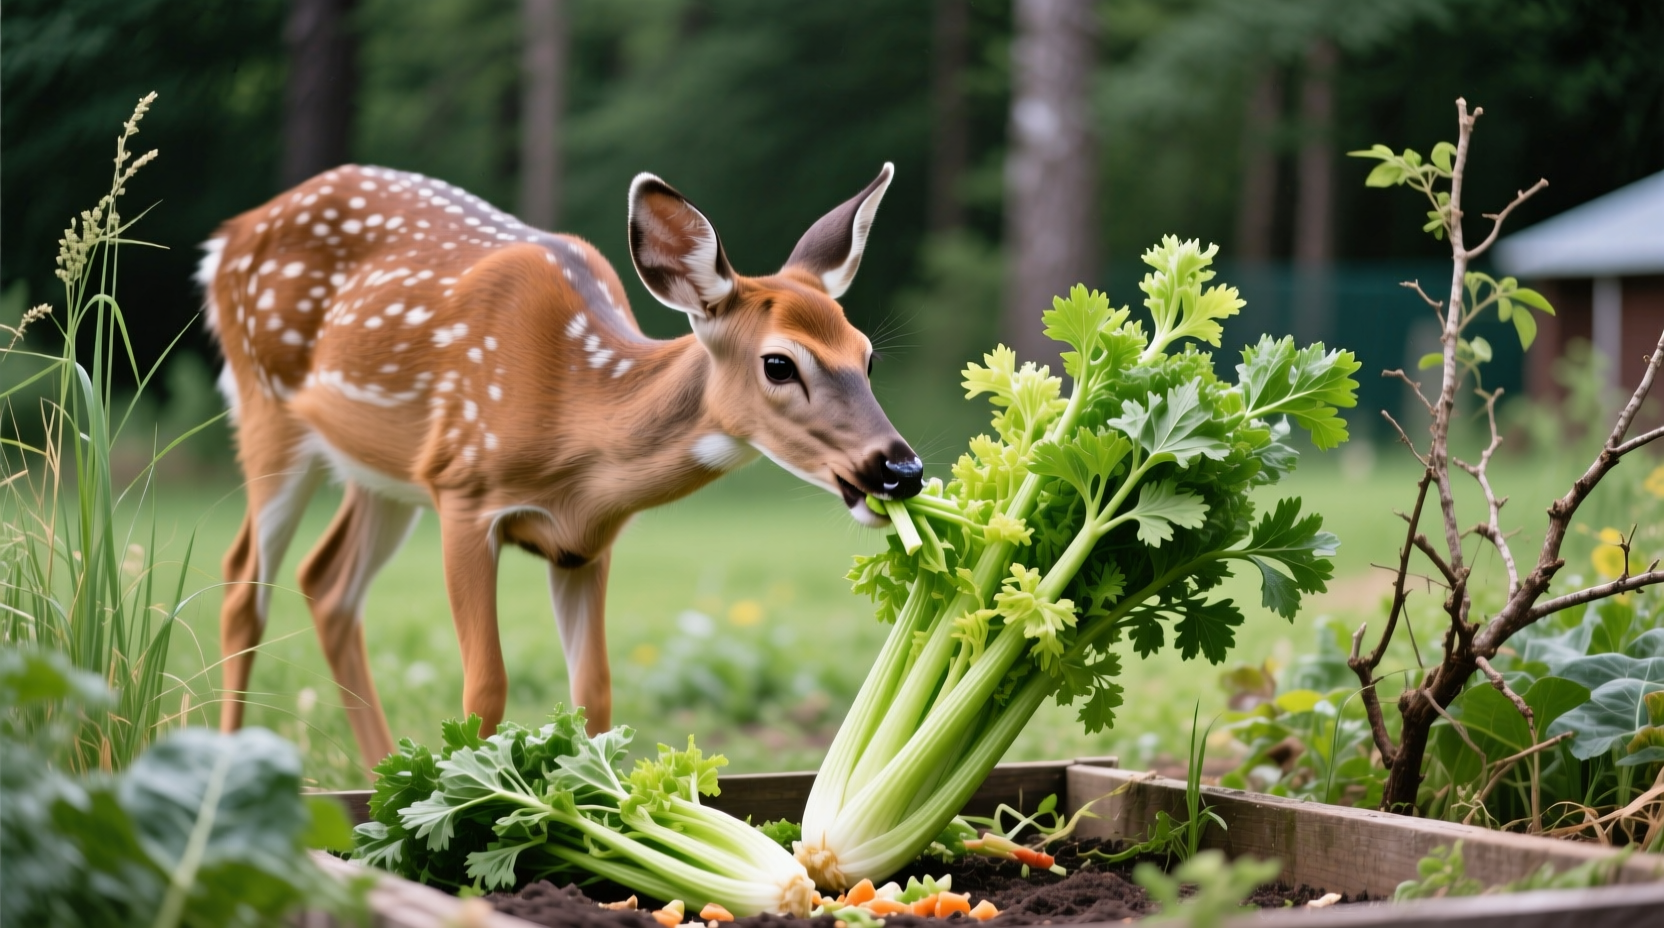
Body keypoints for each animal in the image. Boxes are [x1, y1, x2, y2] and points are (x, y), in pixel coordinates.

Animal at [201, 162, 922, 772]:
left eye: (867, 356)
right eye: (779, 363)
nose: (901, 469)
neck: (573, 427)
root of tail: (226, 238)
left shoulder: (584, 542)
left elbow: (594, 692)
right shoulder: (464, 489)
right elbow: (485, 686)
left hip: (384, 473)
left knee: (327, 583)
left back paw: (383, 782)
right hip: (267, 410)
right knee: (241, 582)